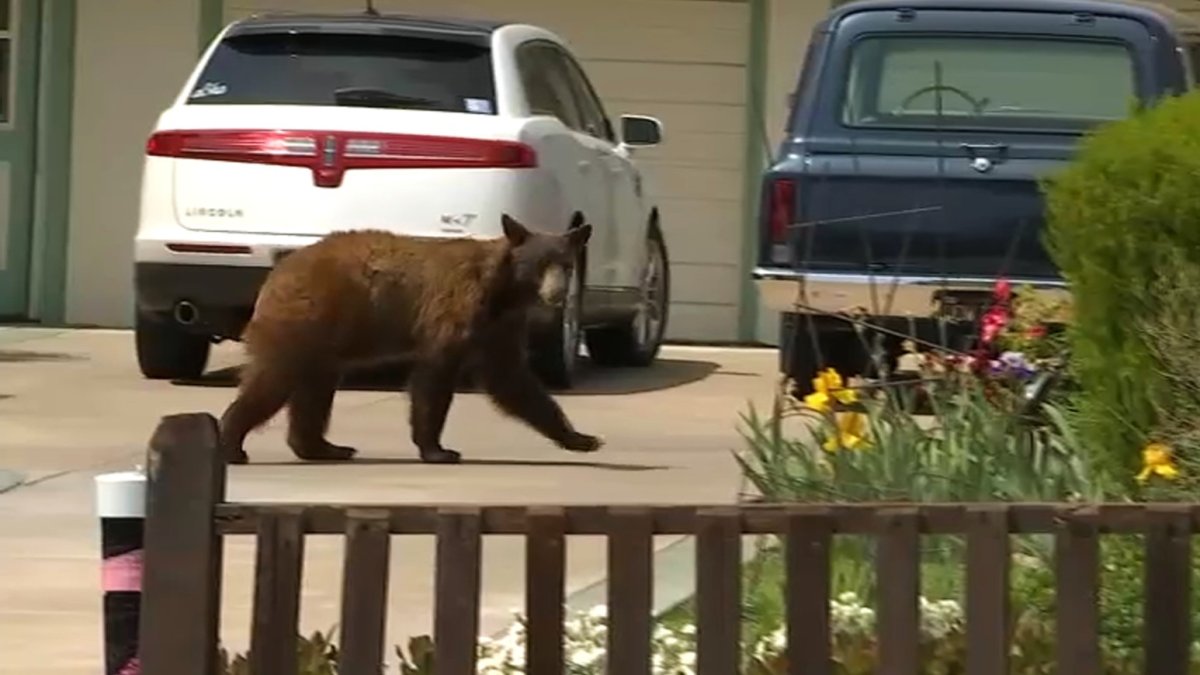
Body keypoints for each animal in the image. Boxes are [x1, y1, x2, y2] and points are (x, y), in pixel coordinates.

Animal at [217, 213, 603, 465]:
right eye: (539, 264)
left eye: (566, 265)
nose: (557, 294)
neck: (503, 291)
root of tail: (279, 270)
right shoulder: (455, 310)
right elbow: (435, 378)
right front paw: (439, 450)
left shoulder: (500, 328)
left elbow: (513, 380)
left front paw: (583, 439)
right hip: (307, 318)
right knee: (274, 379)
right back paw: (232, 444)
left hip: (324, 338)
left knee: (315, 388)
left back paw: (324, 448)